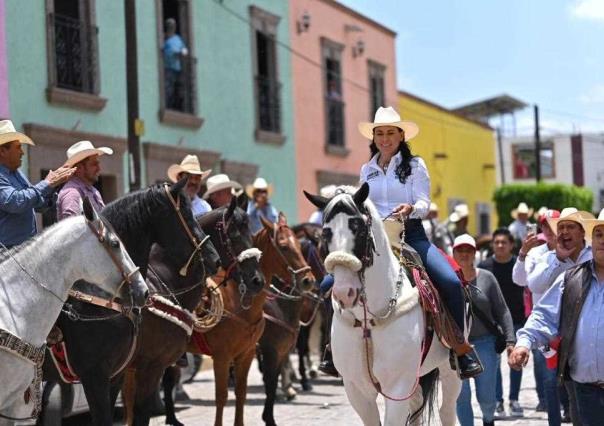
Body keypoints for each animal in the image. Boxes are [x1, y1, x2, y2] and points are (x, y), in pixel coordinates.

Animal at [256, 216, 318, 426]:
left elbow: (273, 382)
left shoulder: (282, 350)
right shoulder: (271, 351)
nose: (308, 281)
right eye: (283, 247)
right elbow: (270, 383)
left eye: (299, 245)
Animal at [306, 184, 462, 426]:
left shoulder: (398, 386)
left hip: (449, 371)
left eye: (360, 230)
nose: (344, 292)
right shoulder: (356, 389)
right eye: (325, 233)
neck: (368, 321)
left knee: (447, 411)